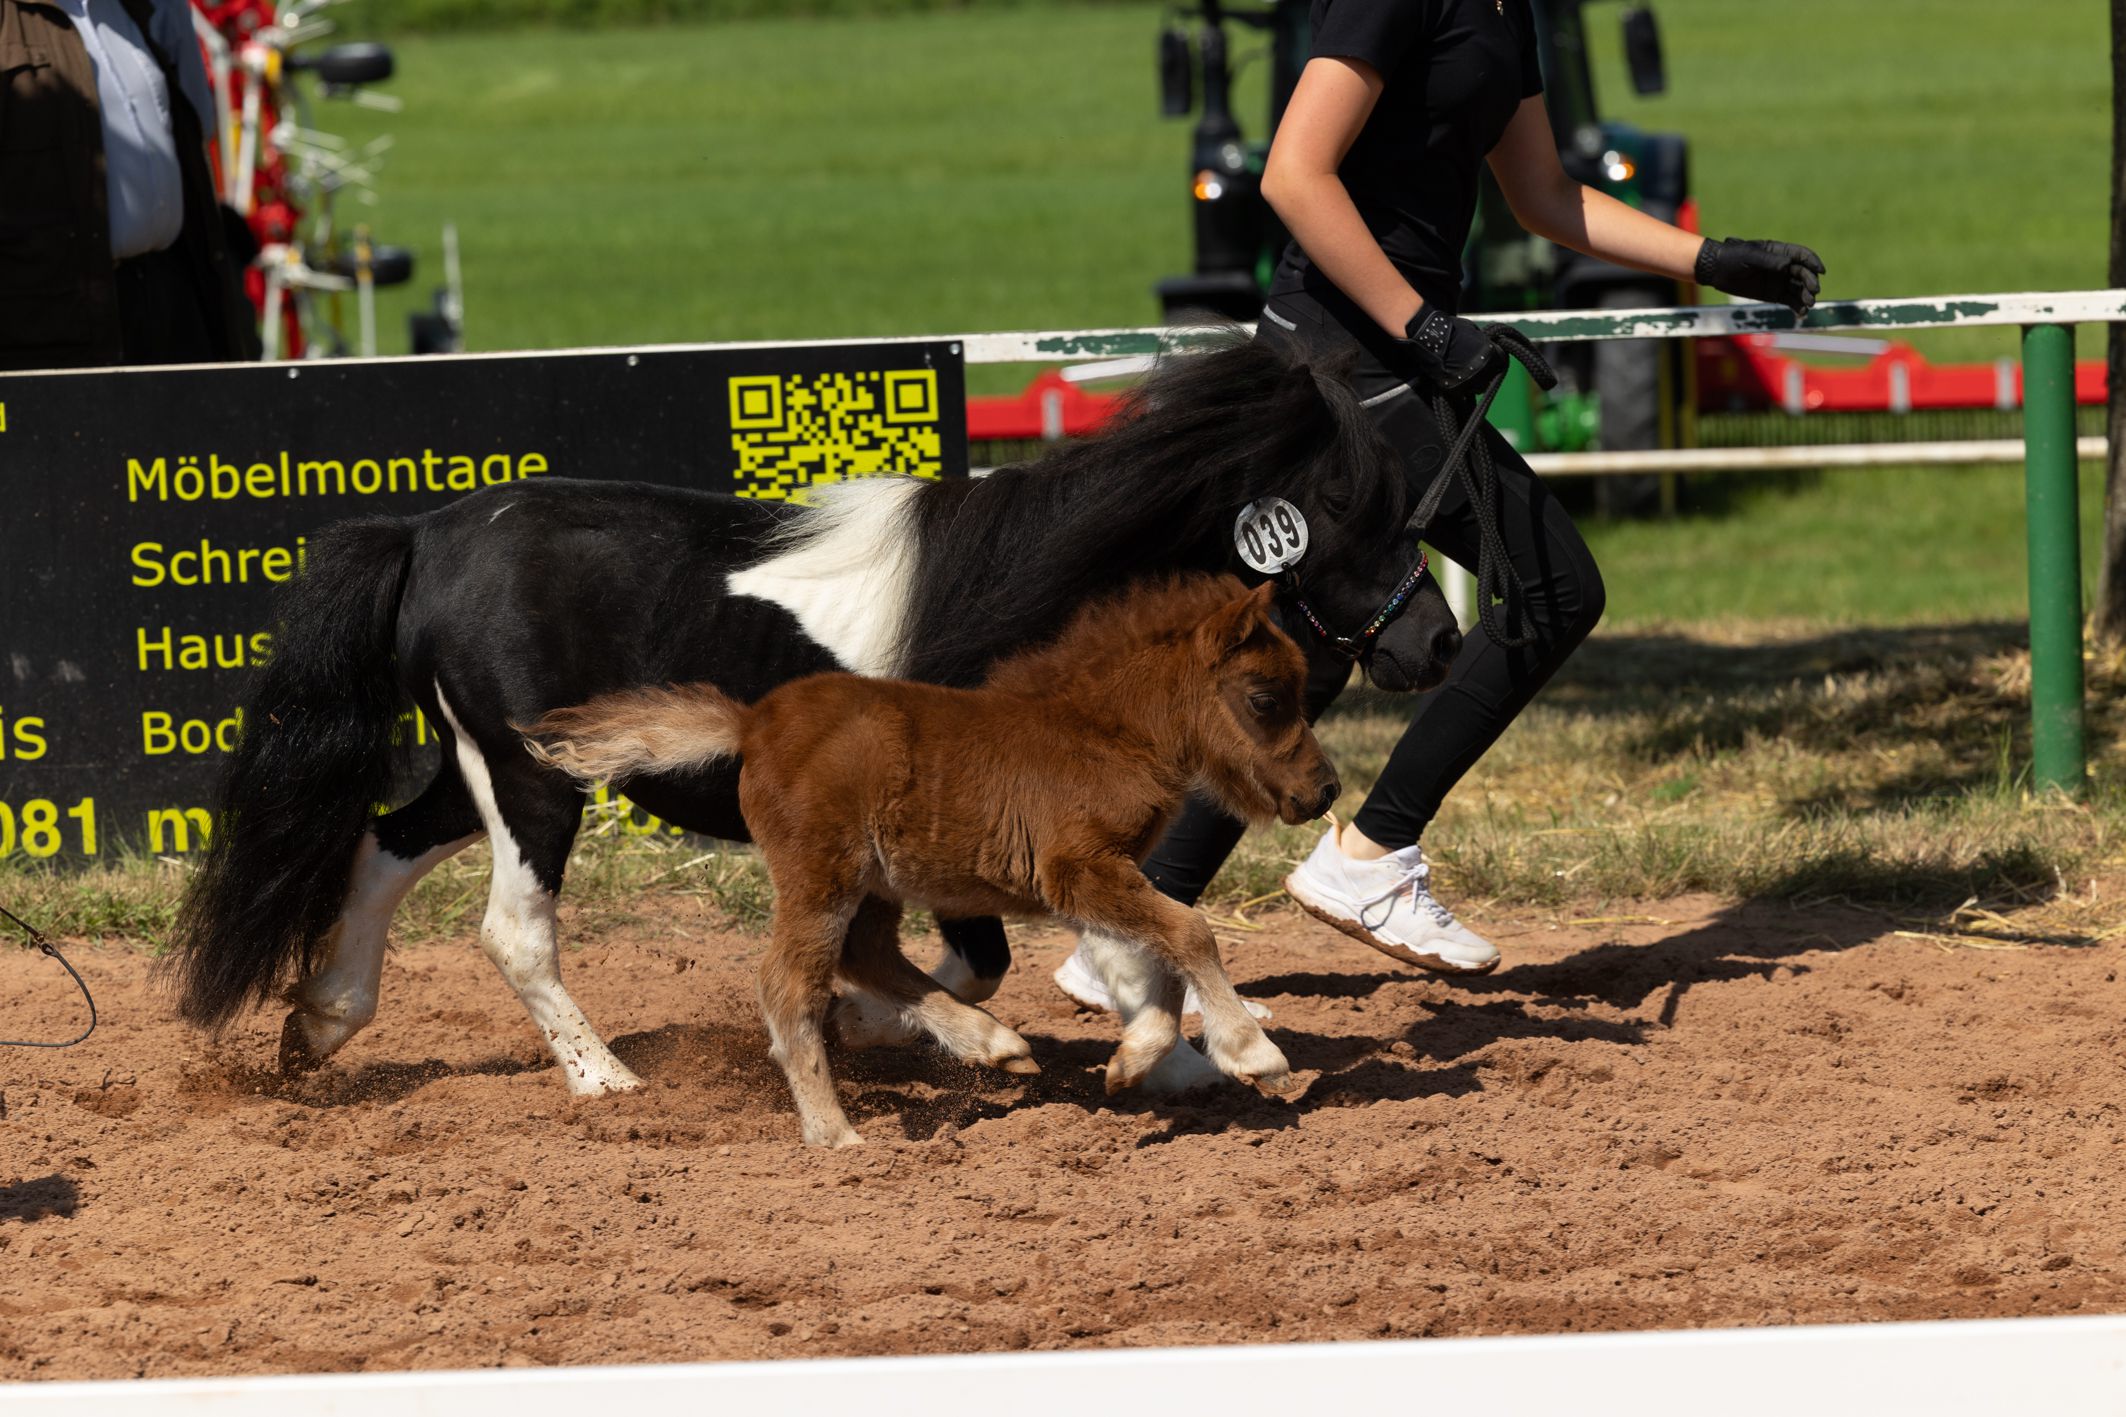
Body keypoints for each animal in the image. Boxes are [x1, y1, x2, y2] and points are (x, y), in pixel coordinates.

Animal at [525, 569, 1335, 1147]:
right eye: (1266, 698)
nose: (1323, 790)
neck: (1100, 732)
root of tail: (753, 722)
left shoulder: (1099, 879)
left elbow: (1155, 954)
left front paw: (1131, 1062)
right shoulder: (1076, 868)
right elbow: (1189, 931)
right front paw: (1253, 1054)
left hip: (871, 883)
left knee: (869, 956)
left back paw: (998, 1046)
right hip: (822, 875)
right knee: (792, 981)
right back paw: (836, 1134)